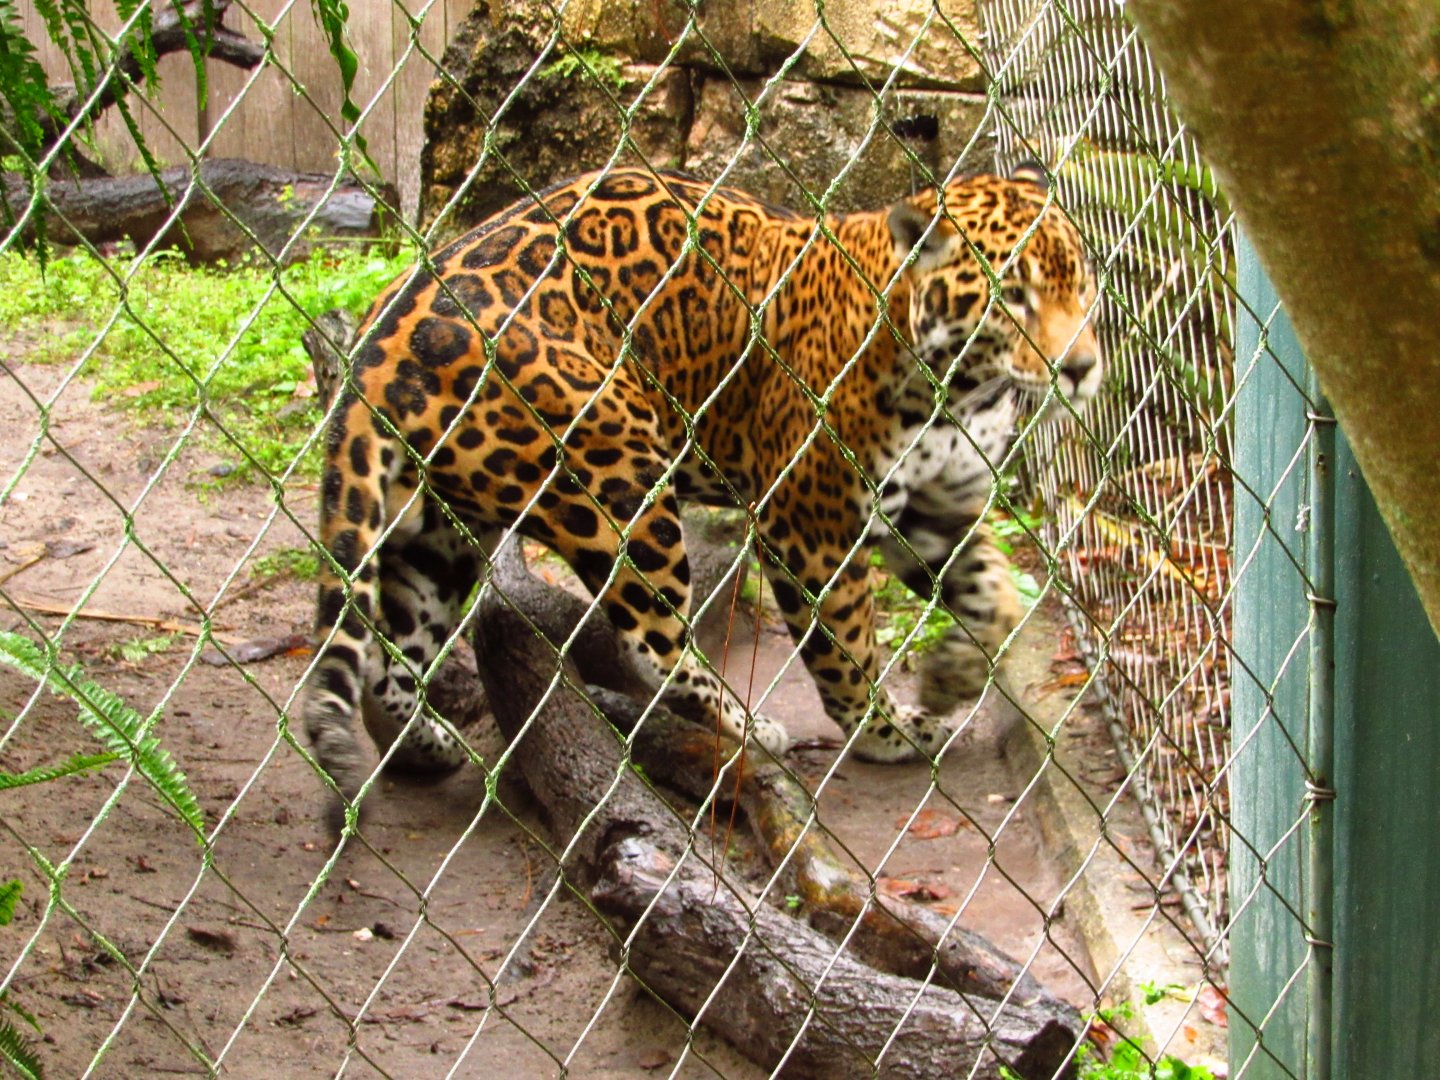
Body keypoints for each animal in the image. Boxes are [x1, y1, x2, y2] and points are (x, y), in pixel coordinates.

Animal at [300, 163, 1102, 822]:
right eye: (1013, 296)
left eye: (1081, 285)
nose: (1083, 368)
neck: (959, 389)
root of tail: (375, 349)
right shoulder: (810, 525)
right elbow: (846, 648)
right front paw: (884, 730)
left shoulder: (944, 503)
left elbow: (996, 598)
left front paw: (950, 677)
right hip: (618, 473)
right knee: (647, 642)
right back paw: (748, 727)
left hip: (434, 533)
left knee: (390, 659)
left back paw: (422, 746)